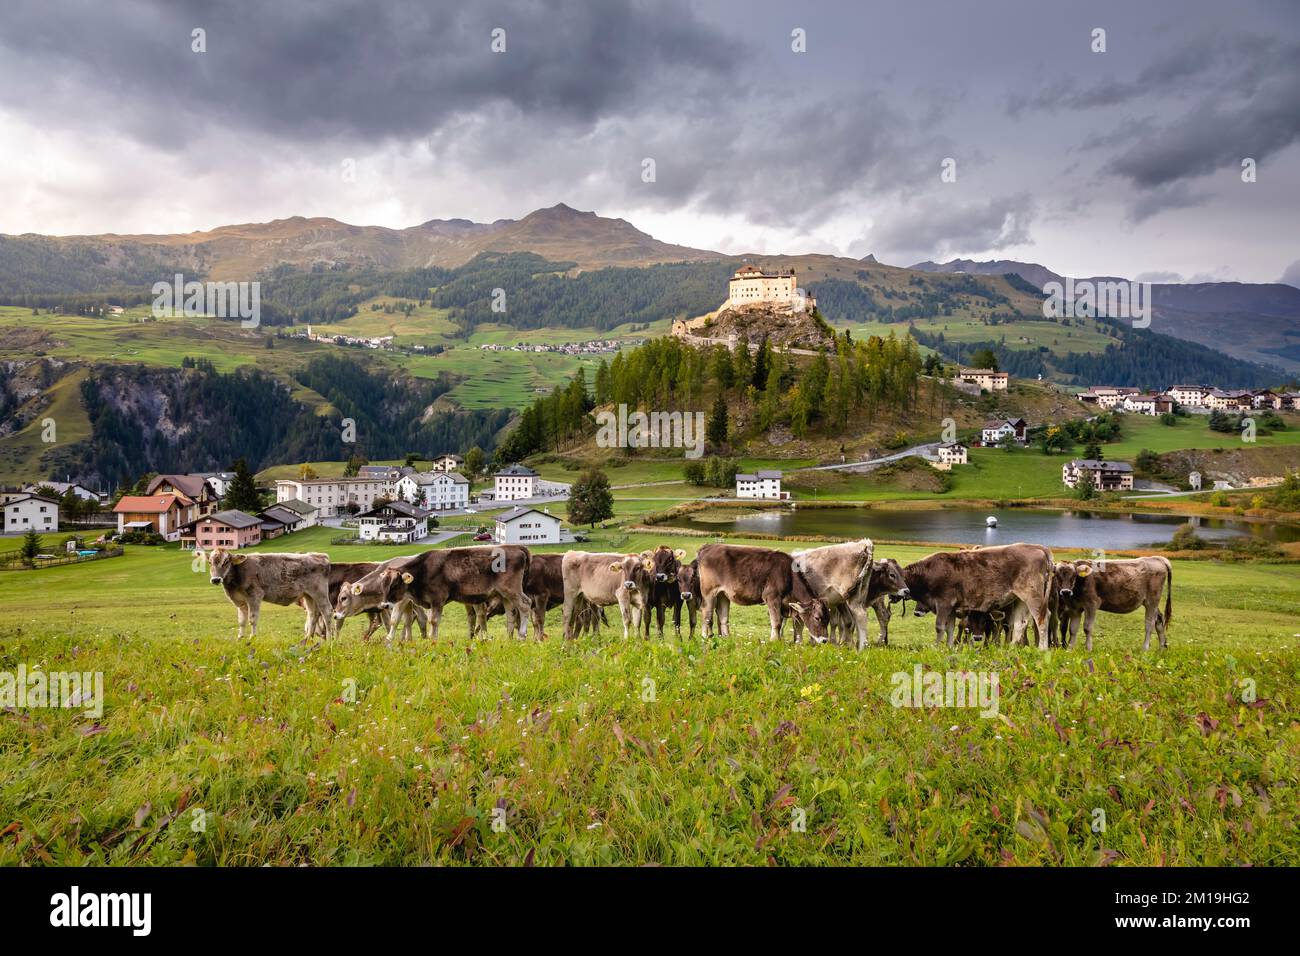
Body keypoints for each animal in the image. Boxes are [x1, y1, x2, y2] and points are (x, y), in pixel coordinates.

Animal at [374, 545, 532, 641]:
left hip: (512, 590)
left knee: (525, 605)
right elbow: (431, 621)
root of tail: (515, 547)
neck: (424, 570)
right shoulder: (430, 602)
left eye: (395, 585)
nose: (384, 605)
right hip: (505, 595)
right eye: (382, 585)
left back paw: (521, 636)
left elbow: (434, 621)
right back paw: (509, 638)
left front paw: (433, 640)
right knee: (511, 614)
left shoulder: (438, 599)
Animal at [694, 543, 830, 643]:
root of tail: (709, 546)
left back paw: (727, 638)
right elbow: (777, 622)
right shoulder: (772, 597)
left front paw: (778, 640)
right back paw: (705, 637)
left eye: (828, 618)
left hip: (723, 593)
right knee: (707, 614)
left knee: (723, 617)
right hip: (709, 591)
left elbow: (780, 622)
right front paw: (774, 641)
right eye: (817, 618)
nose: (824, 640)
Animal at [900, 543, 1054, 648]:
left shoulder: (944, 603)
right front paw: (949, 648)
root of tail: (1036, 547)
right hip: (1020, 600)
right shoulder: (952, 607)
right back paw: (1010, 649)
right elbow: (950, 628)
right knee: (1020, 623)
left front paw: (937, 648)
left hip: (1033, 596)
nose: (917, 612)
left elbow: (939, 627)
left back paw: (1042, 649)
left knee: (1042, 619)